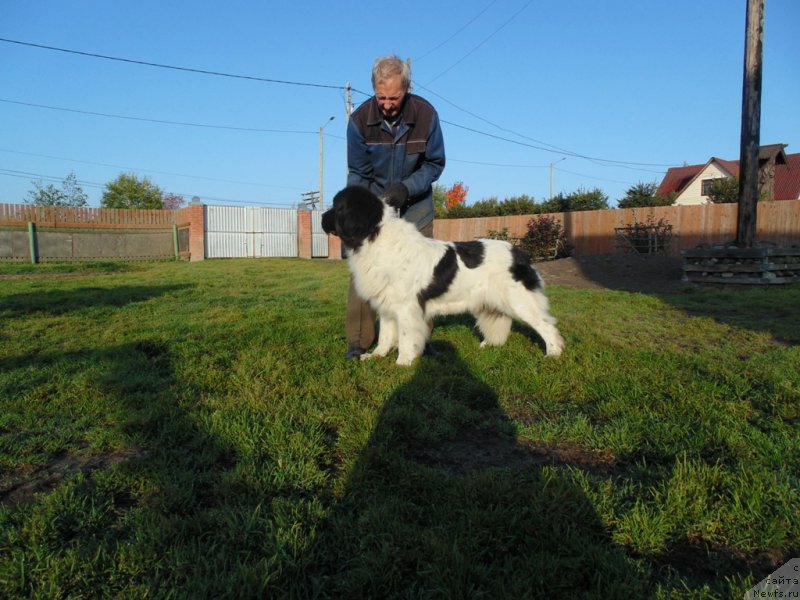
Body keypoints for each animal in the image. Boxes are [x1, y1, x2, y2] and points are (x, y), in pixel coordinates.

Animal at [322, 188, 564, 366]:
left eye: (337, 206)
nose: (323, 217)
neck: (374, 235)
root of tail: (520, 252)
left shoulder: (406, 307)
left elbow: (406, 336)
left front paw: (403, 362)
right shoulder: (387, 304)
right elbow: (385, 335)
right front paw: (376, 356)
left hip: (519, 300)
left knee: (545, 324)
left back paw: (553, 353)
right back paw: (487, 345)